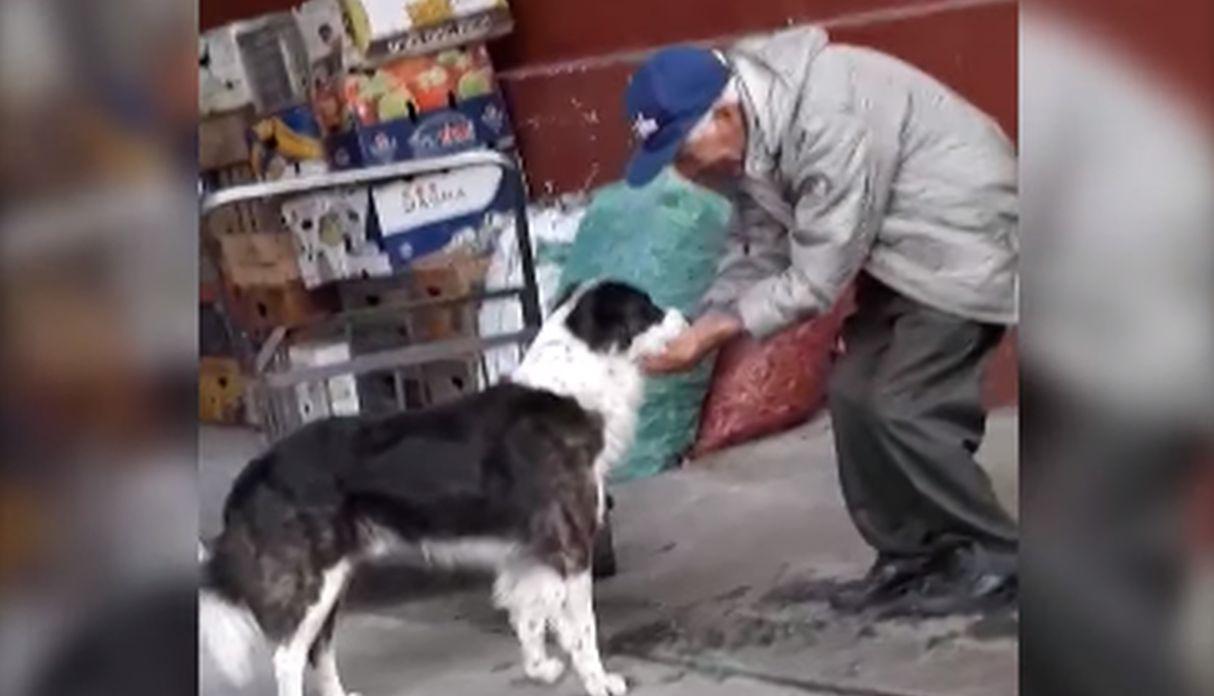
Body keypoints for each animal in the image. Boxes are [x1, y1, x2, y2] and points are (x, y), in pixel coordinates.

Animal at [203, 280, 689, 694]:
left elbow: (528, 616)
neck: (572, 388)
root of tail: (256, 468)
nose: (685, 318)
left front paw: (538, 669)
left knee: (317, 651)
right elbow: (581, 630)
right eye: (648, 310)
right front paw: (599, 682)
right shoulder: (570, 549)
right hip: (311, 583)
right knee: (288, 659)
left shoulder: (528, 553)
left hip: (331, 582)